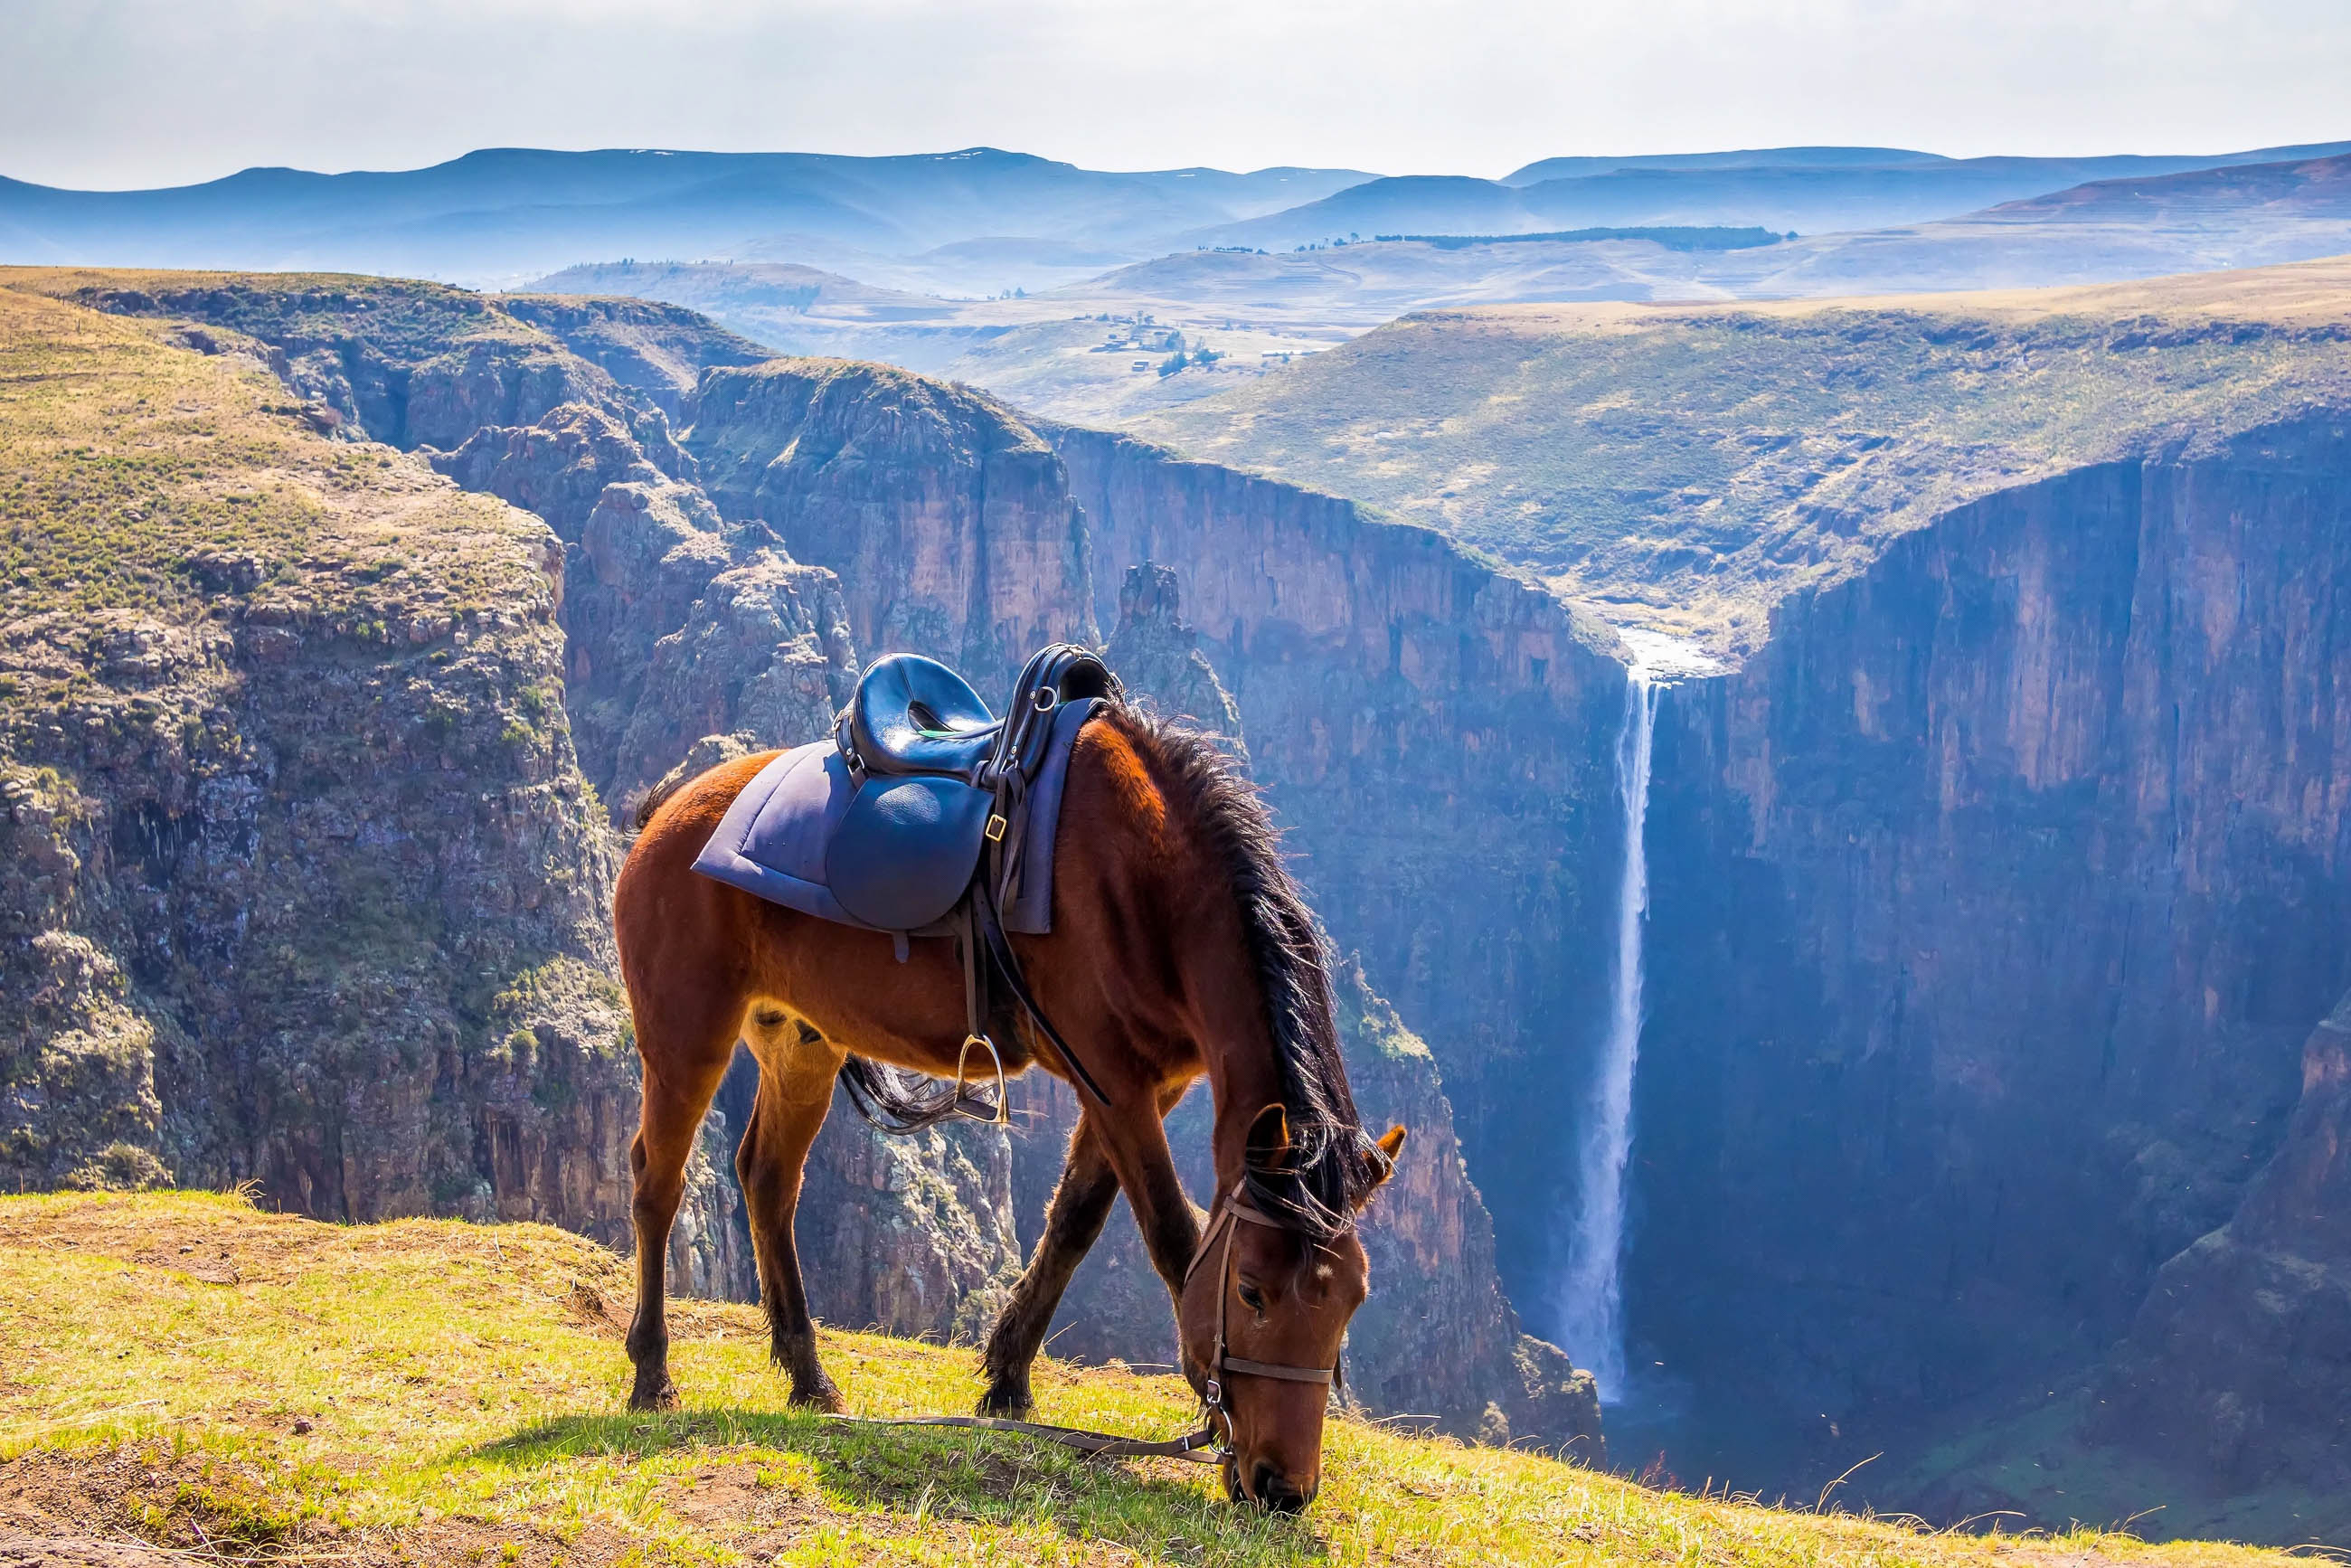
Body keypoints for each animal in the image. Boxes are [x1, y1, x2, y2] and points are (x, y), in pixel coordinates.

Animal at [616, 700, 1401, 1504]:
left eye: (1354, 1299)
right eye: (1250, 1291)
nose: (1282, 1487)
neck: (1150, 888)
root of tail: (670, 808)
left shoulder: (1139, 1087)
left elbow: (1075, 1223)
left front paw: (1008, 1381)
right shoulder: (1112, 1081)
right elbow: (1172, 1237)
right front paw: (1210, 1421)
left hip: (802, 1042)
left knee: (768, 1179)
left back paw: (809, 1380)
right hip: (687, 1035)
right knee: (659, 1183)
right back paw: (653, 1374)